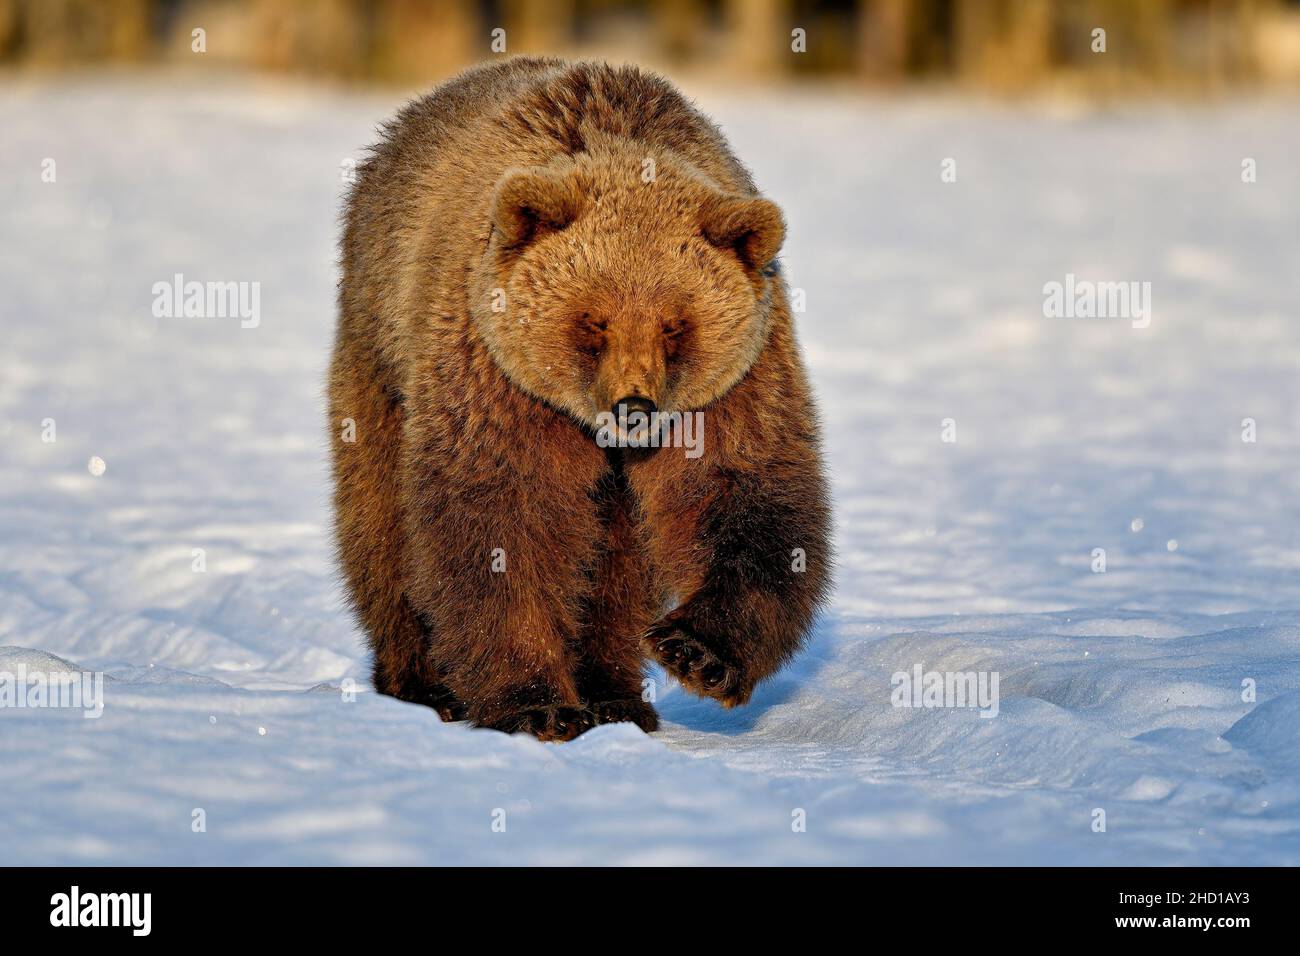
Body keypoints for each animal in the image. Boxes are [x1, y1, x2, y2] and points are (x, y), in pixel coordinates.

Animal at [330, 55, 826, 738]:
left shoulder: (734, 384)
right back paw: (421, 684)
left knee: (616, 559)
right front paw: (535, 705)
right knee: (381, 525)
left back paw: (615, 695)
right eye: (594, 320)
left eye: (675, 324)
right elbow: (503, 519)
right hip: (380, 359)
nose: (634, 408)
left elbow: (744, 491)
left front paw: (698, 651)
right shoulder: (496, 373)